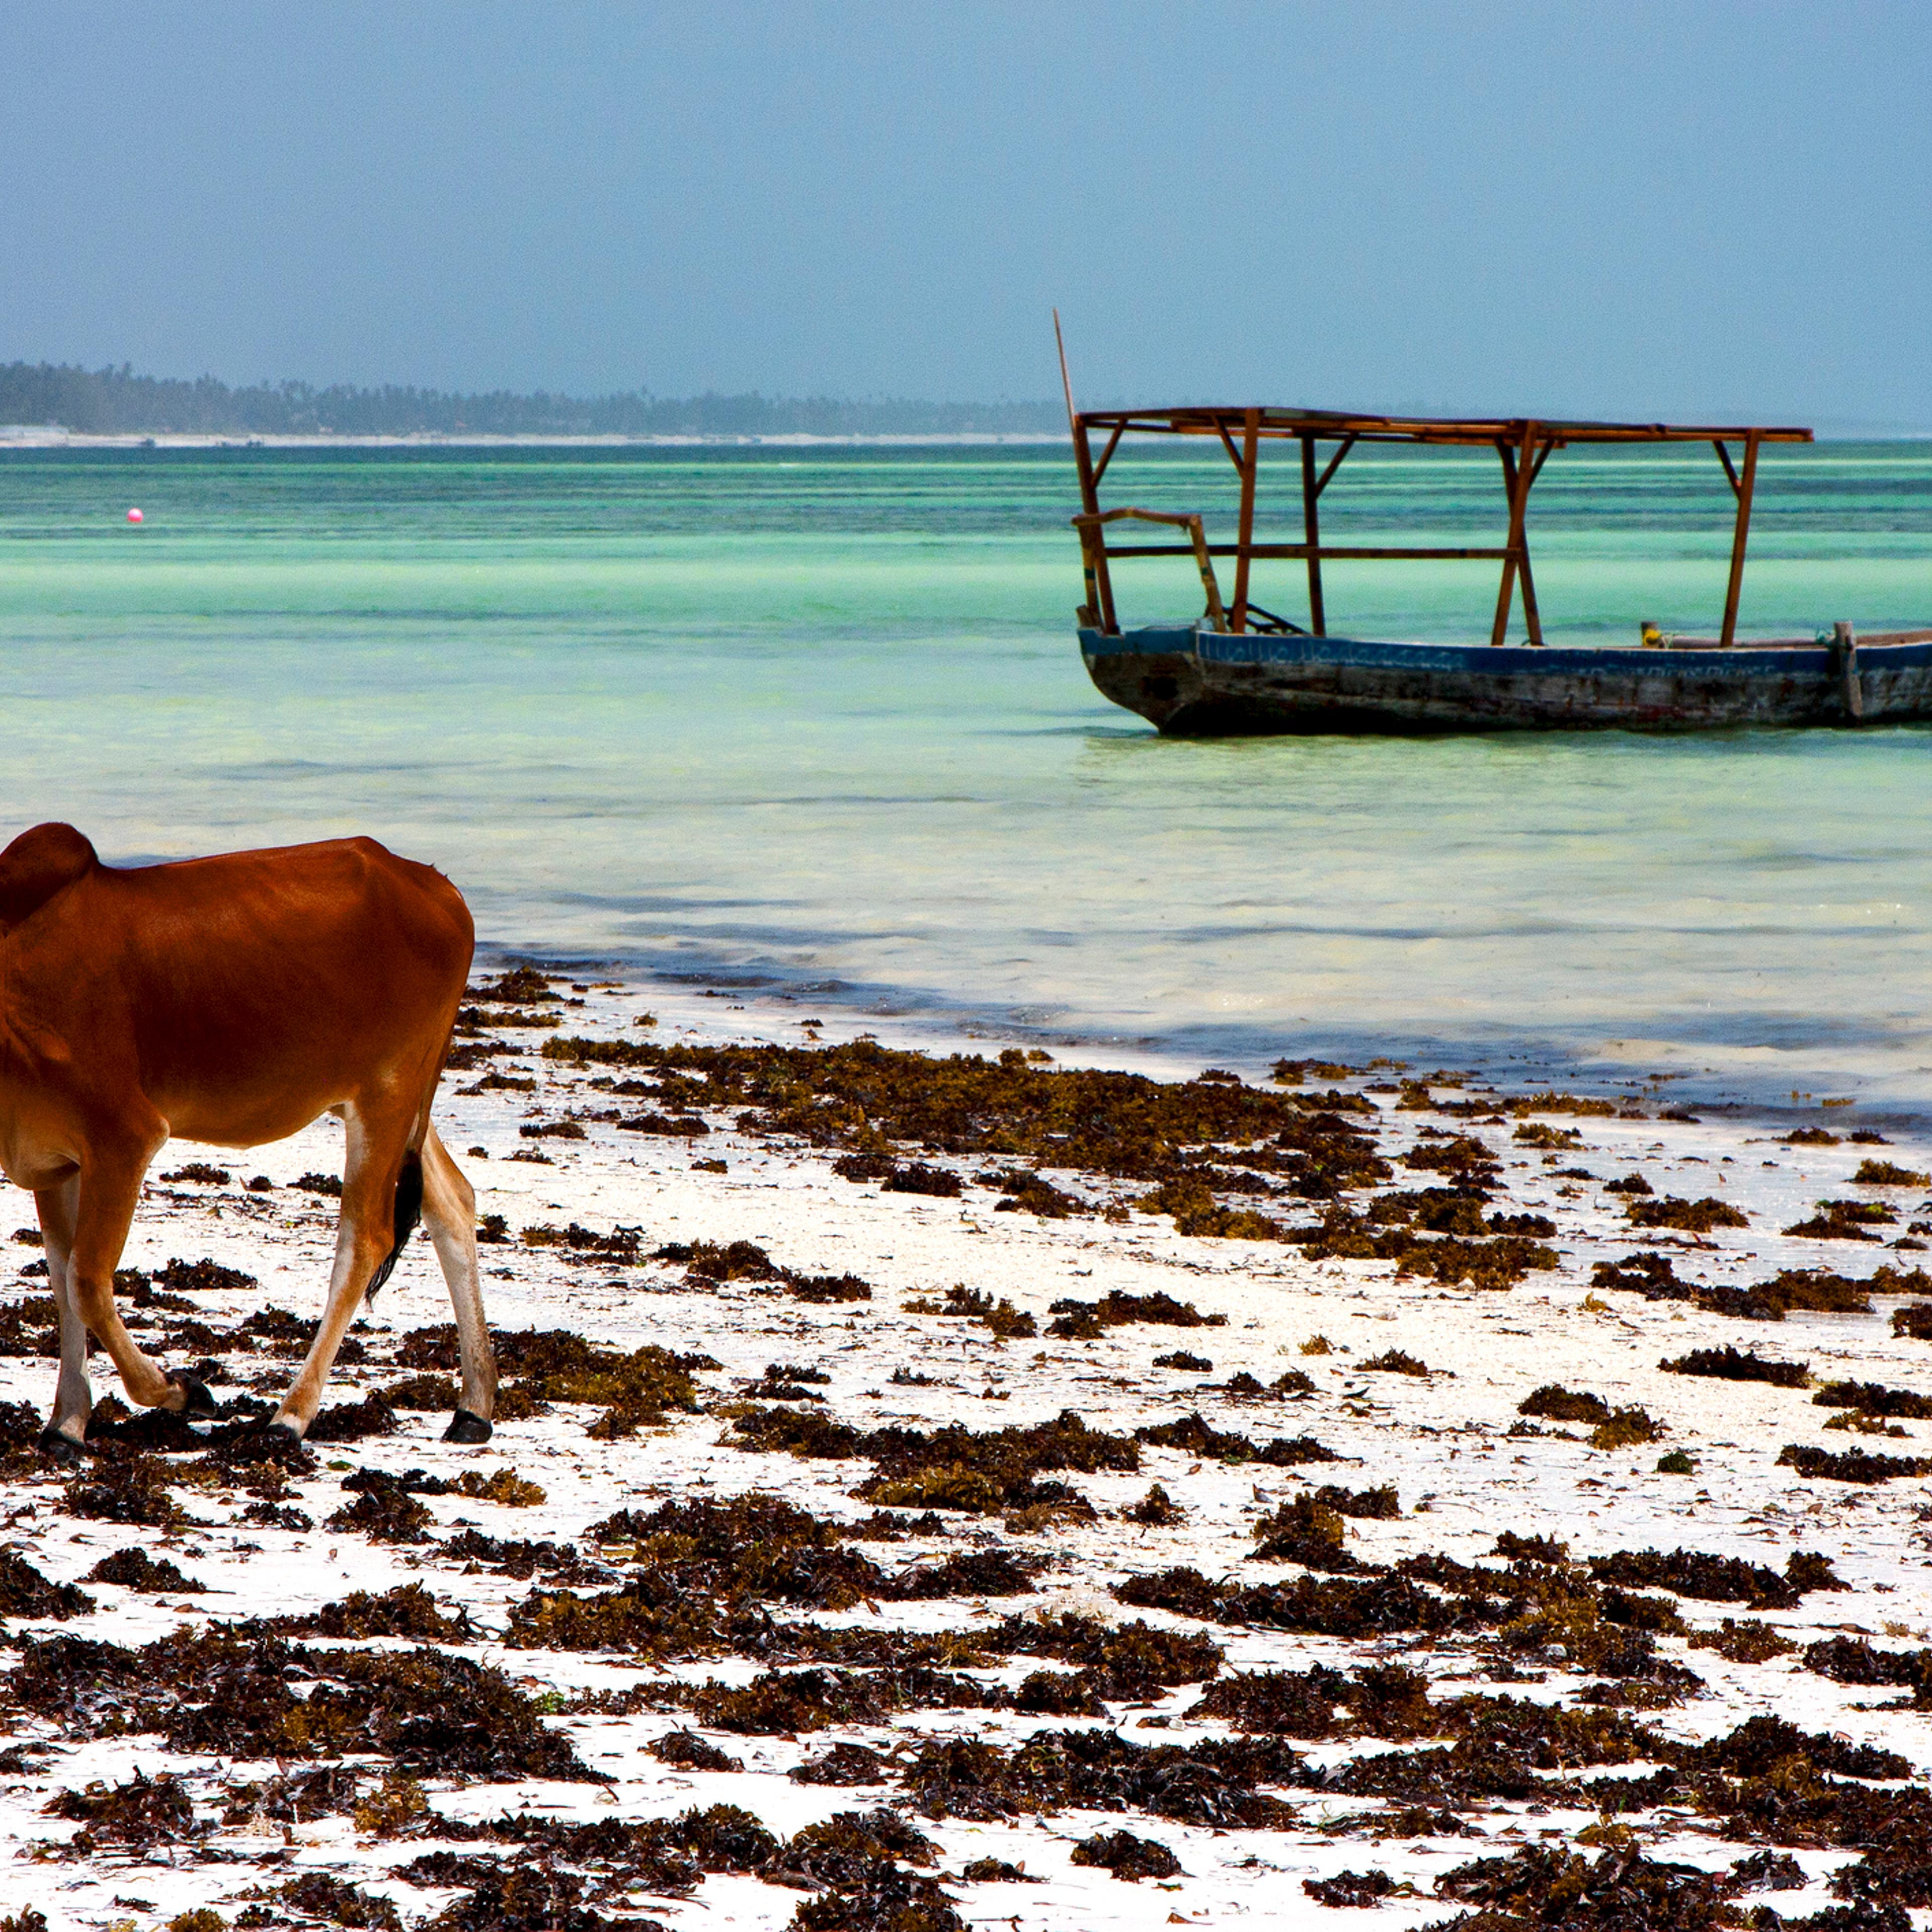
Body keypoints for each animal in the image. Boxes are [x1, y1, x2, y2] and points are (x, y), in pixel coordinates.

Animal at [0, 822, 496, 1457]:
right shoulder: (56, 1158)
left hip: (386, 1096)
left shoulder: (124, 1135)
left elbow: (86, 1282)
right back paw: (474, 1407)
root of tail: (434, 885)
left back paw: (290, 1417)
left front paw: (183, 1391)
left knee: (365, 1240)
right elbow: (62, 1279)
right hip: (399, 1103)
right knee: (452, 1203)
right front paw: (67, 1422)